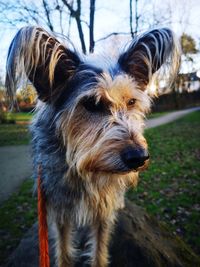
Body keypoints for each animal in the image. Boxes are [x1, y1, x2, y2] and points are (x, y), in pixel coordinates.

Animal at [5, 25, 180, 267]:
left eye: (131, 102)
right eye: (91, 104)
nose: (139, 157)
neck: (85, 171)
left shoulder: (103, 210)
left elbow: (99, 248)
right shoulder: (59, 208)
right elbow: (64, 249)